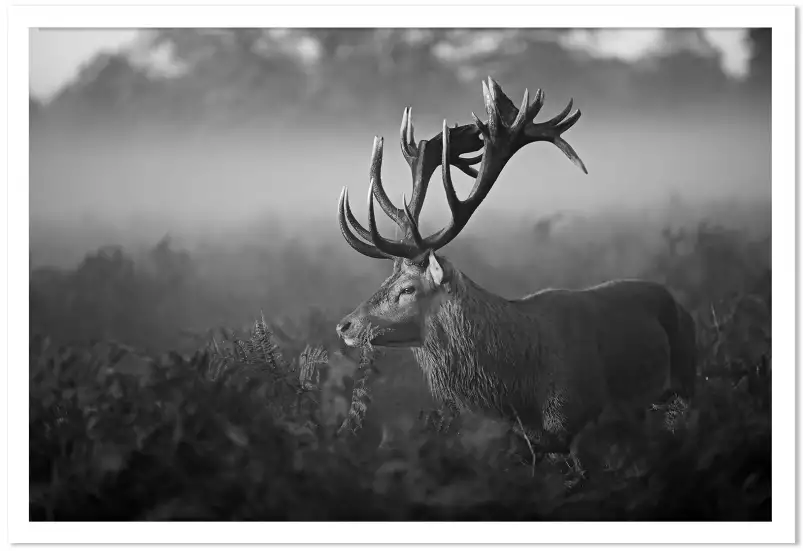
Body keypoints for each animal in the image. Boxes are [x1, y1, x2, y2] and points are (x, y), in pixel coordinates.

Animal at [332, 76, 696, 470]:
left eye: (409, 289)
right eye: (386, 279)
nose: (345, 325)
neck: (525, 392)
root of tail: (682, 305)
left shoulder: (580, 424)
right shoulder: (534, 441)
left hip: (688, 380)